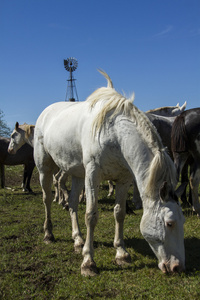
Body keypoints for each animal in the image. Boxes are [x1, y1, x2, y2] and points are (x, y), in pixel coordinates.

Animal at [25, 71, 186, 276]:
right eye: (169, 223)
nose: (177, 267)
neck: (115, 133)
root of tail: (45, 113)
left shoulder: (123, 179)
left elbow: (119, 213)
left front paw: (121, 253)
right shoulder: (93, 176)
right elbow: (91, 216)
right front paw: (88, 263)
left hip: (77, 174)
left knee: (72, 203)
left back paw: (78, 240)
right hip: (45, 168)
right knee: (47, 199)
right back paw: (49, 234)